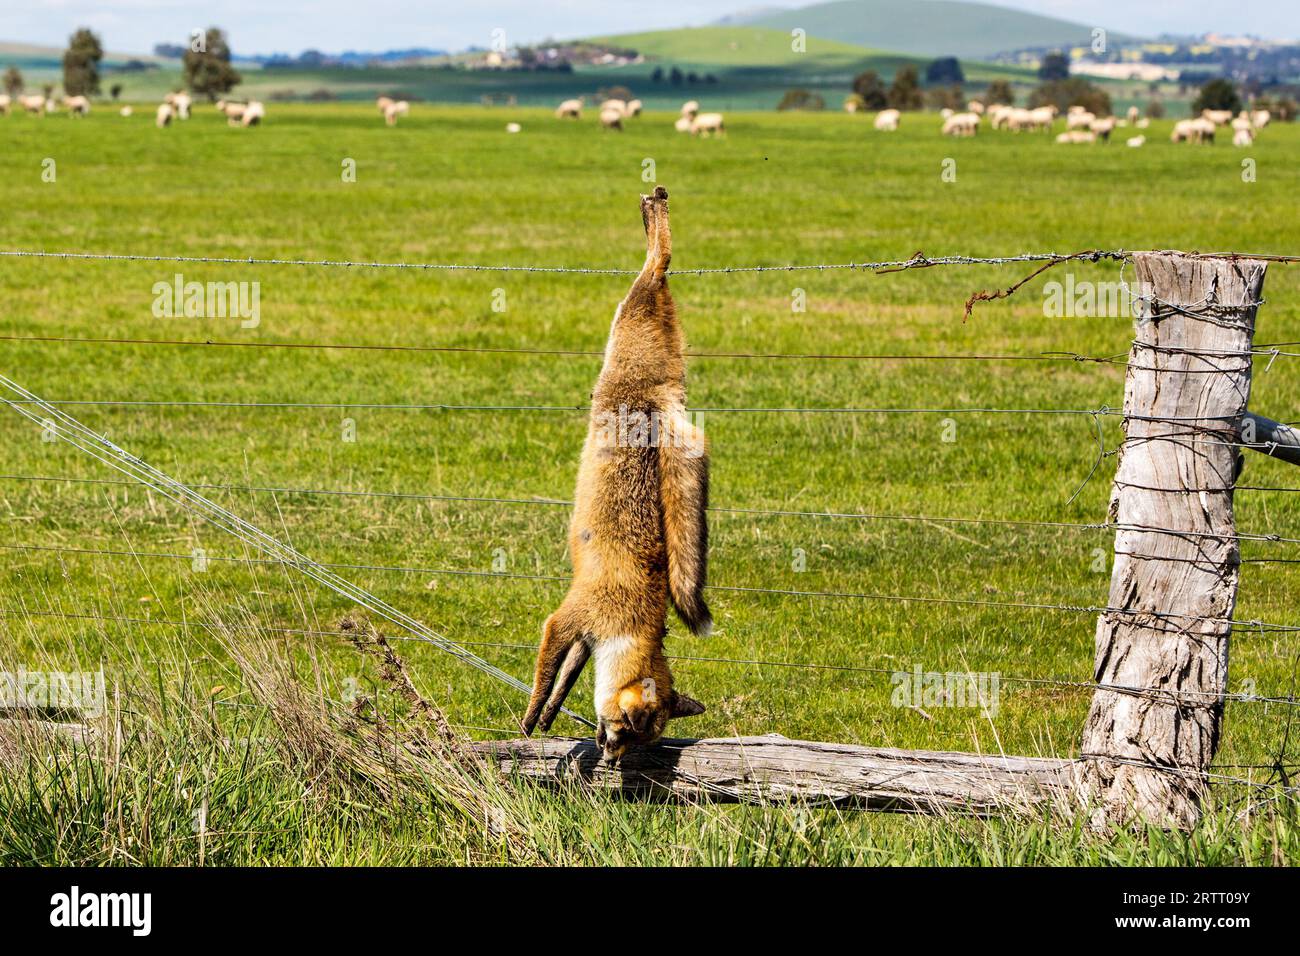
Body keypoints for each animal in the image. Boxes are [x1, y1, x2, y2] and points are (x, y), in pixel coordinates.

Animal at [522, 184, 712, 764]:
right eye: (626, 730)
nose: (611, 760)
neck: (632, 622)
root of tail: (659, 399)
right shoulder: (570, 619)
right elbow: (547, 677)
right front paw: (530, 720)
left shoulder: (584, 635)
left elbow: (564, 680)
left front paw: (548, 717)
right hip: (630, 316)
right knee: (657, 266)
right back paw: (656, 218)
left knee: (658, 265)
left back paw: (654, 213)